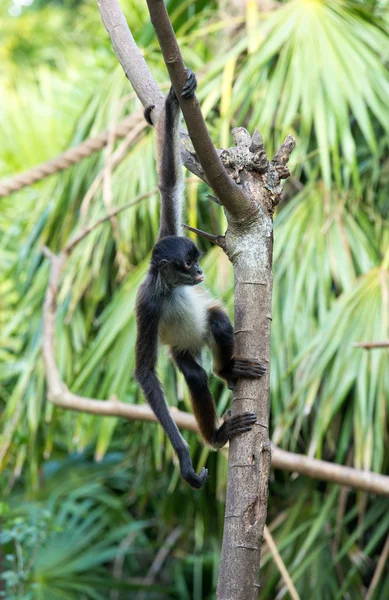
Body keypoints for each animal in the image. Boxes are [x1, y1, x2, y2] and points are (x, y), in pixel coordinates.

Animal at [135, 70, 266, 490]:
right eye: (186, 264)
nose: (199, 272)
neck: (170, 287)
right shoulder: (147, 303)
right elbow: (146, 374)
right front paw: (184, 458)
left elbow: (169, 183)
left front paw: (176, 97)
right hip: (184, 349)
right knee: (193, 373)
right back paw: (217, 436)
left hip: (209, 327)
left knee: (220, 323)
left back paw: (226, 371)